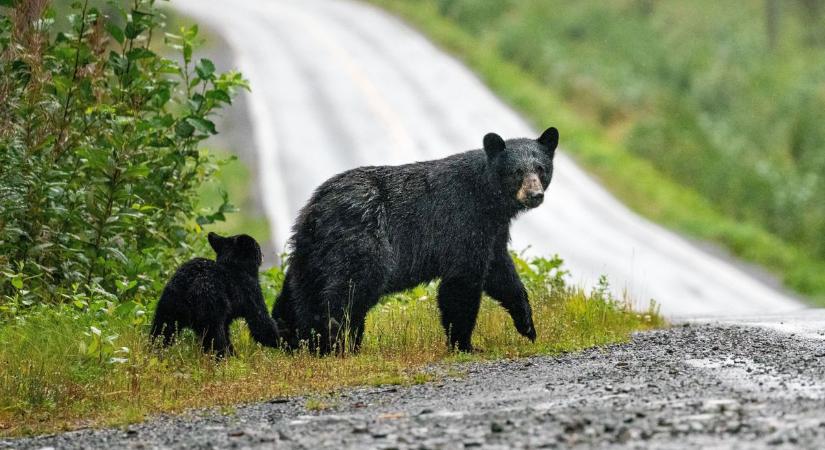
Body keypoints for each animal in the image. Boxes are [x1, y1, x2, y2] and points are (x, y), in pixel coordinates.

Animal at [148, 234, 276, 356]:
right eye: (257, 247)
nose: (263, 255)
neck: (233, 264)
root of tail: (189, 285)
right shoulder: (250, 290)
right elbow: (260, 322)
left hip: (169, 305)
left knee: (162, 330)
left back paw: (155, 351)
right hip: (210, 307)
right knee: (215, 337)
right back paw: (222, 356)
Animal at [274, 125, 556, 352]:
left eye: (540, 169)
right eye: (516, 172)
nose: (535, 195)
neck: (489, 199)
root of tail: (316, 205)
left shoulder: (493, 231)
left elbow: (501, 273)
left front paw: (527, 326)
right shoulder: (464, 222)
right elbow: (461, 282)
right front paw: (464, 344)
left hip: (311, 251)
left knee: (301, 292)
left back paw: (298, 340)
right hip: (361, 241)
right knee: (348, 291)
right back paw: (338, 344)